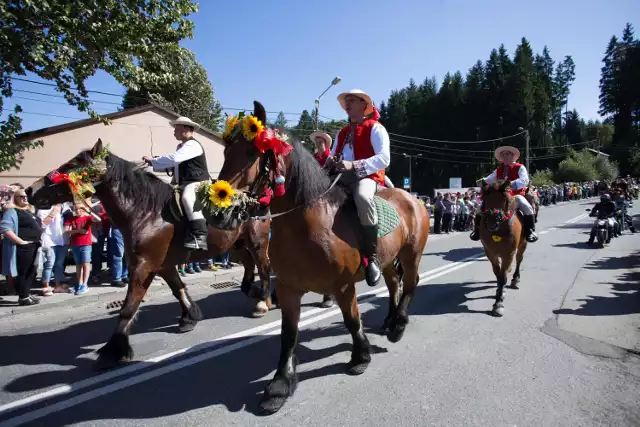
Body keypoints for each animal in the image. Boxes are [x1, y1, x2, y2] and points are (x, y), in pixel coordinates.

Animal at [25, 139, 274, 370]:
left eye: (73, 164)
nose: (30, 190)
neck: (146, 213)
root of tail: (255, 197)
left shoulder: (144, 265)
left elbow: (129, 307)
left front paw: (113, 351)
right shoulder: (161, 265)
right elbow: (178, 289)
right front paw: (190, 316)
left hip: (257, 243)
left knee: (264, 268)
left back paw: (264, 301)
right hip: (236, 247)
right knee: (249, 266)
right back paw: (254, 291)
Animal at [210, 100, 430, 414]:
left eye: (253, 153)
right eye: (227, 152)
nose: (218, 211)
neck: (311, 223)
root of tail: (414, 199)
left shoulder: (343, 286)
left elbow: (352, 321)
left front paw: (360, 357)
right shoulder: (288, 289)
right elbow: (288, 334)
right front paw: (280, 385)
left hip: (411, 254)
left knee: (410, 283)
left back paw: (398, 325)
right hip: (389, 260)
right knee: (393, 284)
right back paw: (389, 320)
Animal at [478, 181, 528, 318]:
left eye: (504, 199)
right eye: (485, 198)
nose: (492, 223)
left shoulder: (509, 253)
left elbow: (503, 277)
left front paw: (498, 303)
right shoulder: (490, 253)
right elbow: (498, 275)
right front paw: (499, 295)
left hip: (522, 244)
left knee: (519, 259)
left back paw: (515, 279)